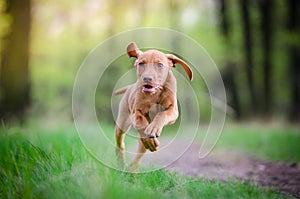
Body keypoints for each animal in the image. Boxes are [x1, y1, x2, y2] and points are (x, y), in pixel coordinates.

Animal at [115, 42, 192, 171]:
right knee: (120, 144)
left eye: (160, 65)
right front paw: (150, 136)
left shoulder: (173, 111)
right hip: (122, 123)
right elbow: (140, 121)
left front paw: (153, 128)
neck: (155, 93)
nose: (147, 78)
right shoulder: (136, 111)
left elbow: (162, 114)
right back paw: (122, 162)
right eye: (141, 63)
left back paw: (132, 168)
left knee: (138, 155)